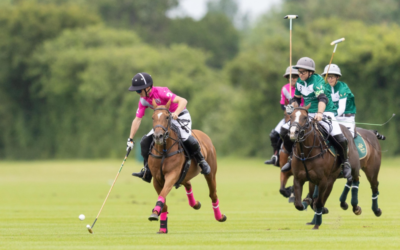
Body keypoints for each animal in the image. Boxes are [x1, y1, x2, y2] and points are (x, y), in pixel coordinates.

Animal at [148, 98, 228, 233]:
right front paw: (162, 226)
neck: (163, 151)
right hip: (184, 175)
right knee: (188, 183)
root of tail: (203, 134)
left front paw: (155, 212)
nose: (158, 136)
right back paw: (195, 204)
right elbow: (163, 201)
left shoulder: (172, 175)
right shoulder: (157, 179)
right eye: (153, 117)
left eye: (167, 117)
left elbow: (163, 194)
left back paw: (220, 217)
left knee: (213, 194)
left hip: (211, 173)